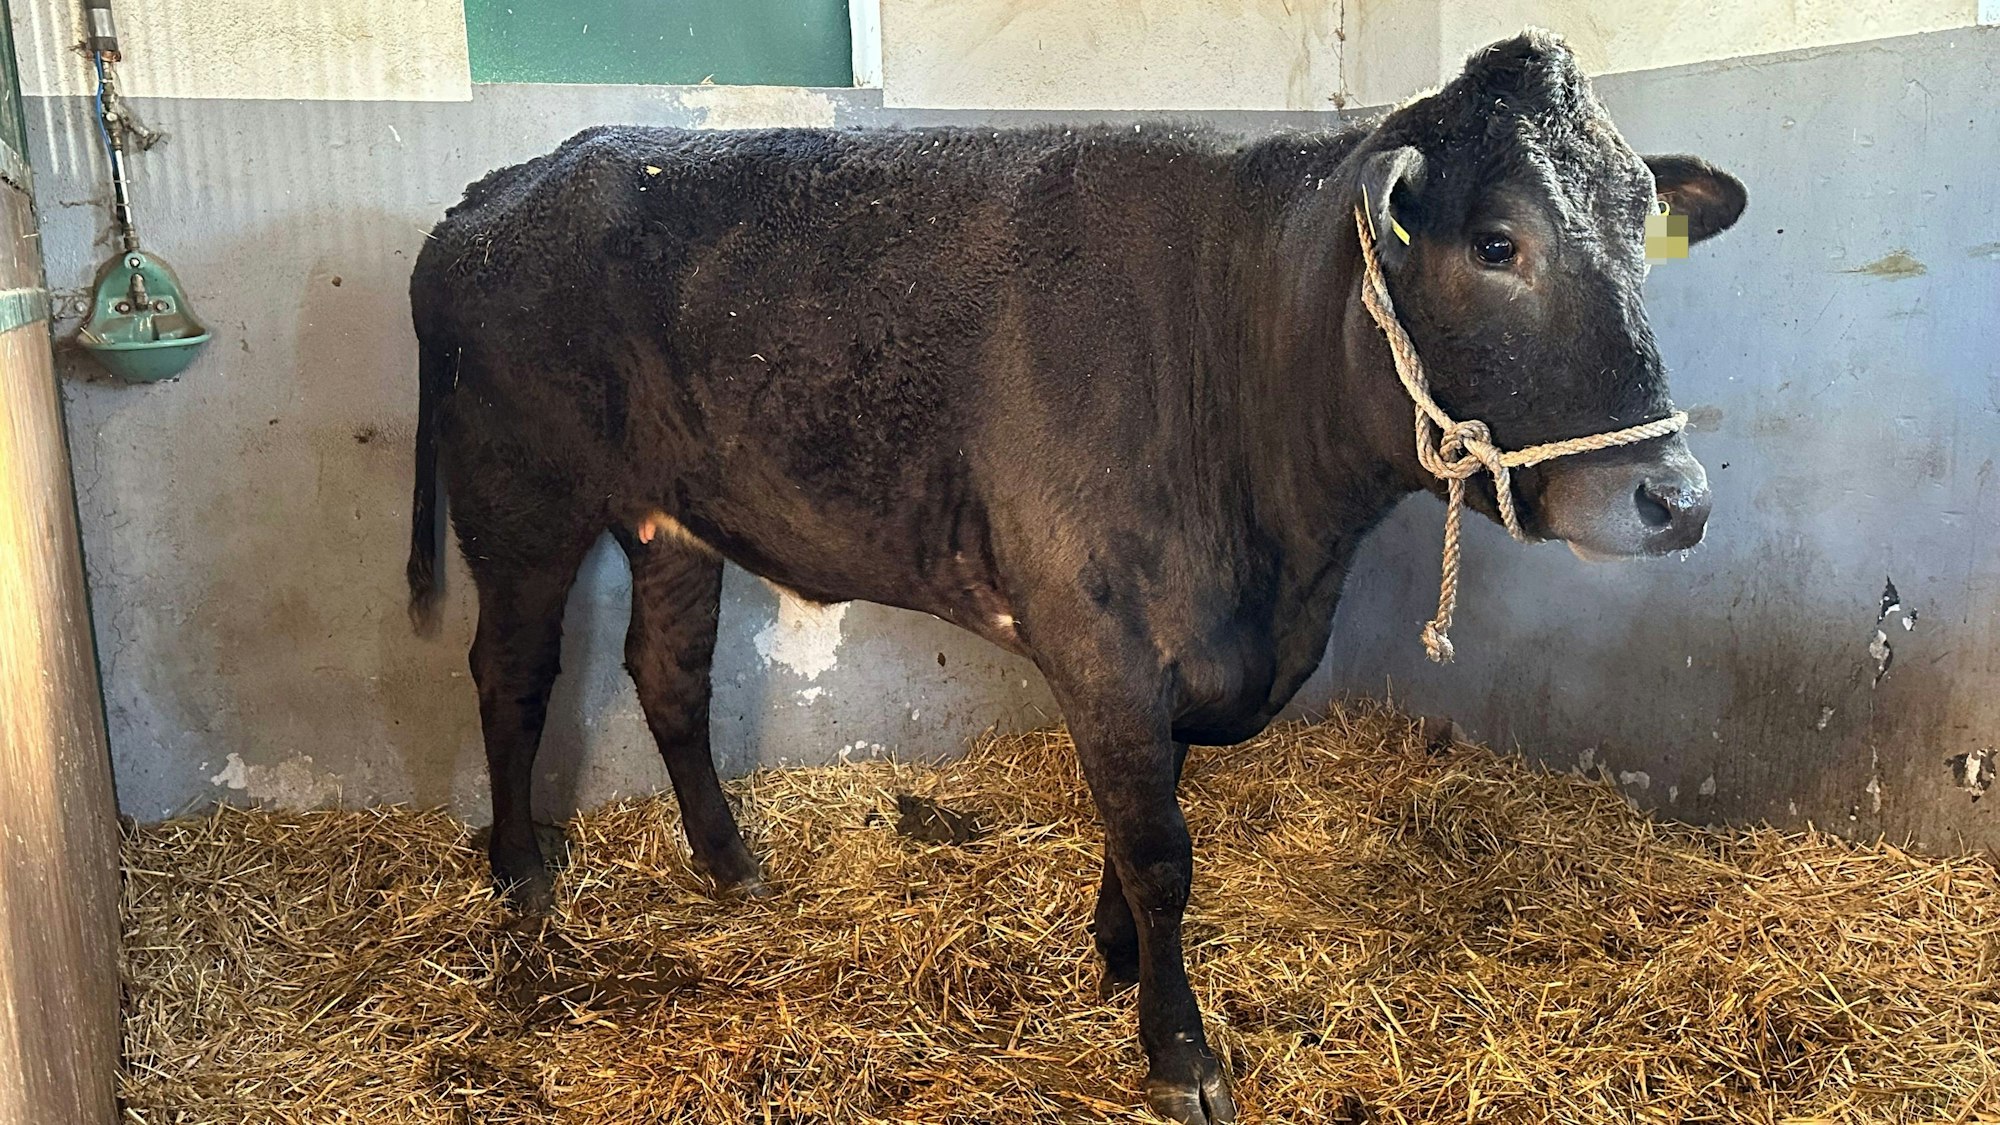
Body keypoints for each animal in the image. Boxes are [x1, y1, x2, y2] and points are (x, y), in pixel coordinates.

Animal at [405, 31, 1743, 1123]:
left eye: (1640, 235)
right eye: (1496, 243)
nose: (1675, 498)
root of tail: (499, 190)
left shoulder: (1180, 654)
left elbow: (1141, 816)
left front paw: (1113, 956)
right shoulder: (1101, 637)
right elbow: (1158, 847)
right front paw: (1177, 1051)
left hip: (669, 521)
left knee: (669, 675)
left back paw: (731, 865)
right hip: (517, 503)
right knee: (511, 672)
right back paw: (518, 873)